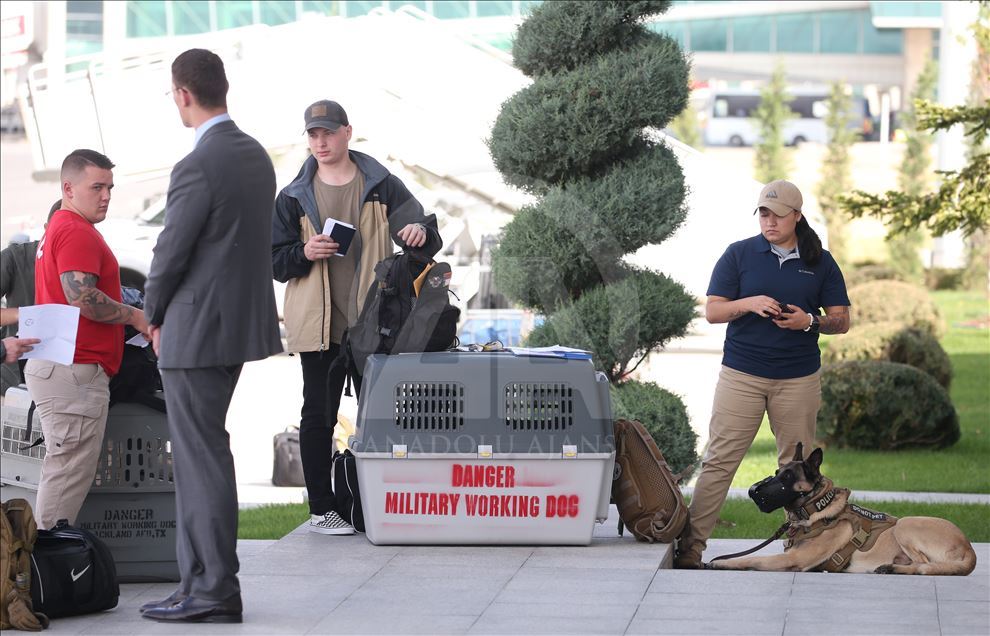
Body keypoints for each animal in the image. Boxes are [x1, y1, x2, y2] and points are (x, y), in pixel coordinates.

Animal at [708, 444, 980, 572]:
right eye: (776, 472)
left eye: (787, 477)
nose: (752, 490)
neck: (817, 512)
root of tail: (970, 549)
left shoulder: (793, 559)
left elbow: (752, 559)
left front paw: (722, 563)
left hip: (906, 524)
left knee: (924, 565)